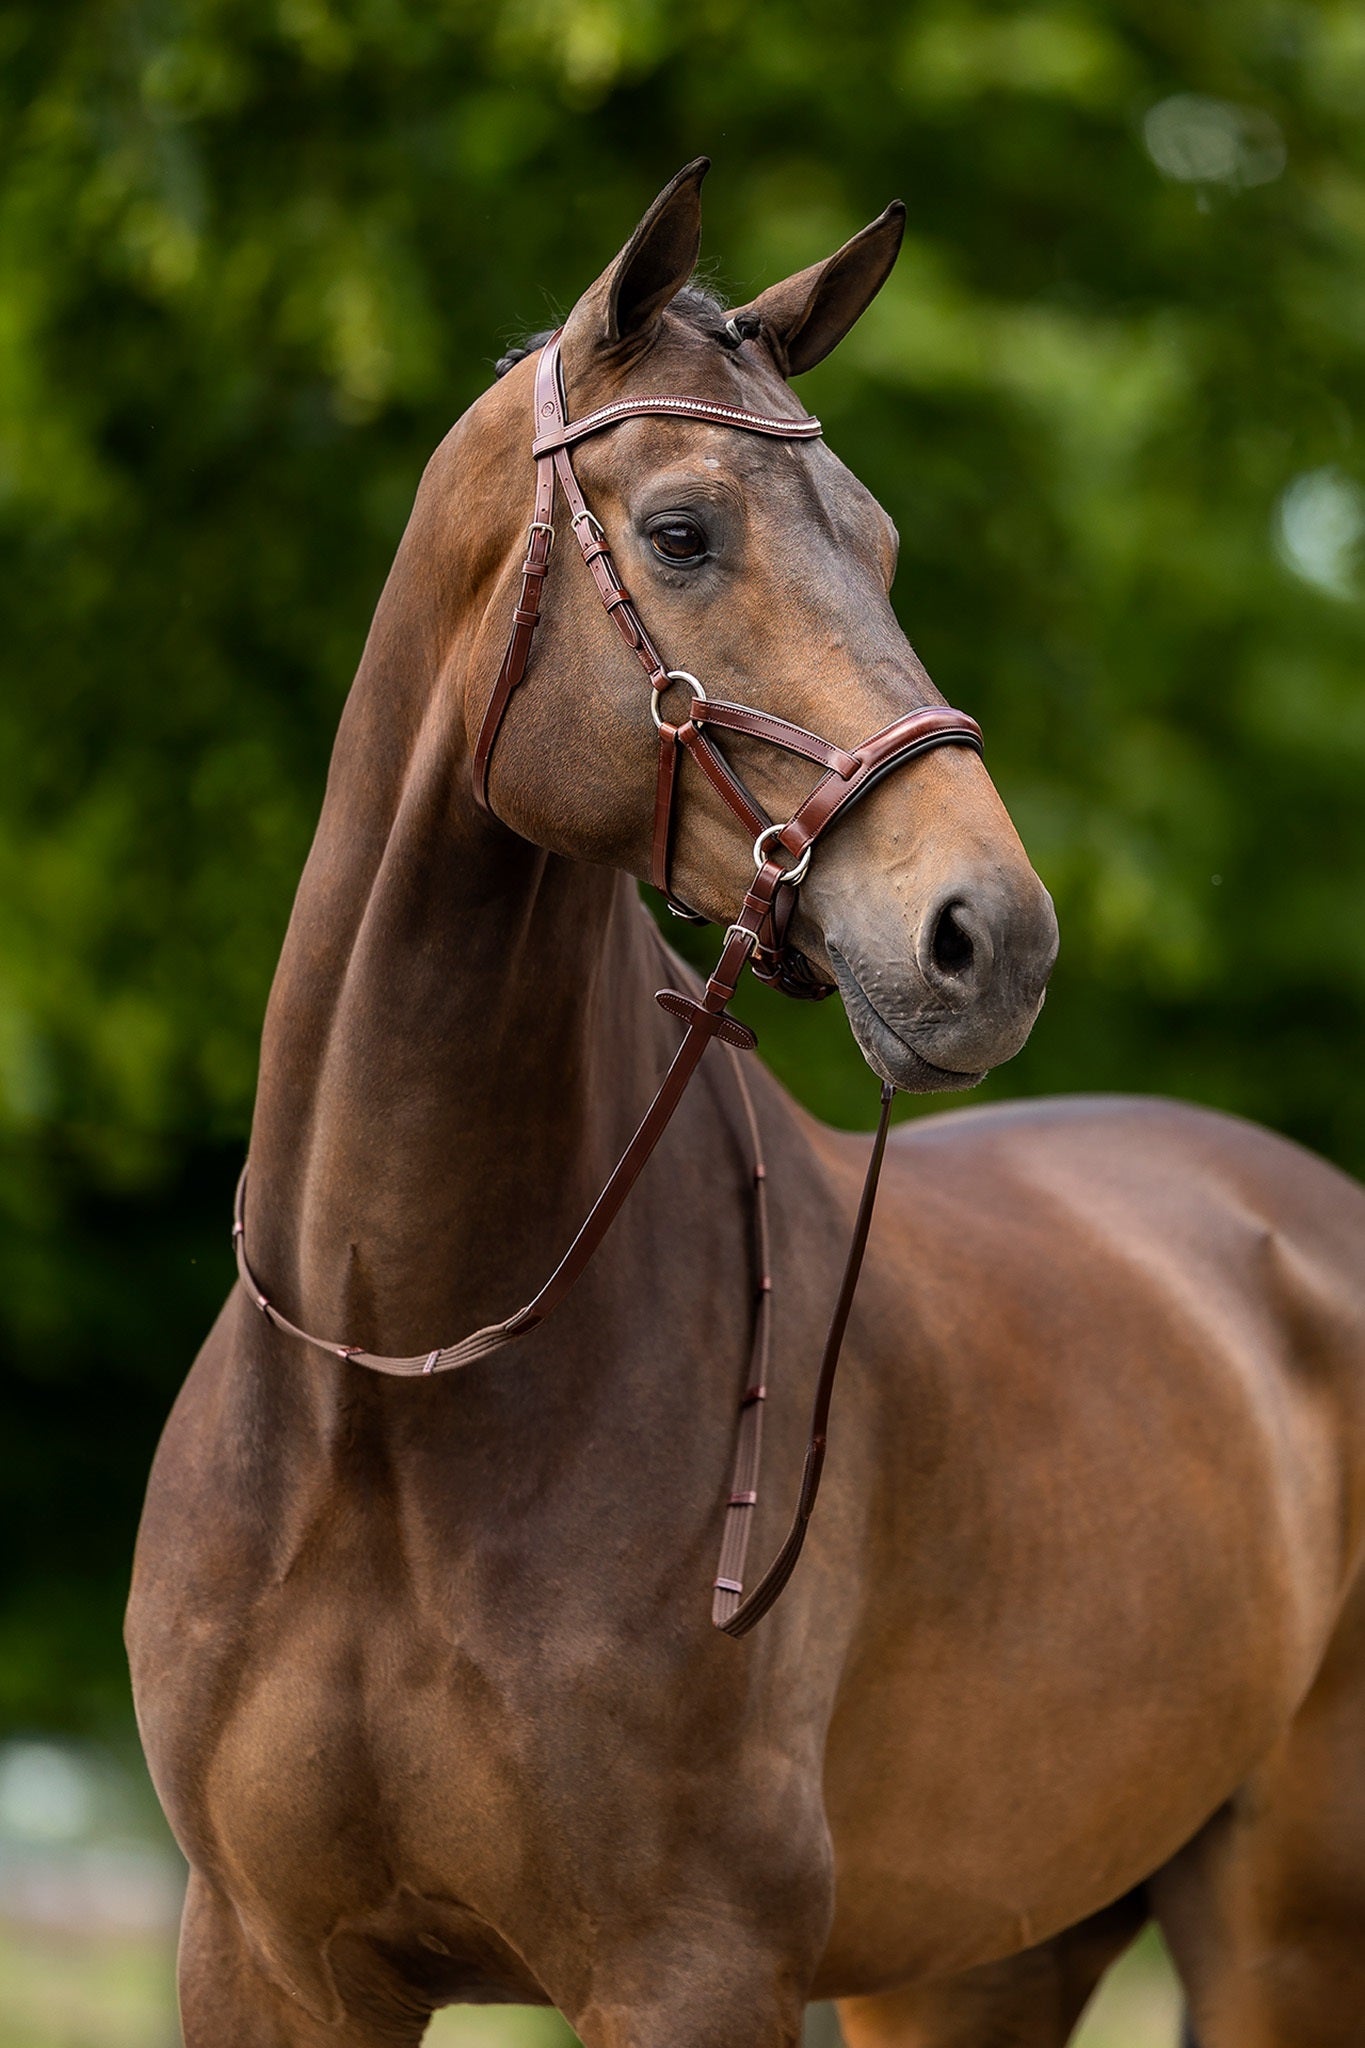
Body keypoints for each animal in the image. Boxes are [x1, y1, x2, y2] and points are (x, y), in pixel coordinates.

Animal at [127, 163, 1365, 2048]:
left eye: (884, 546)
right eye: (685, 533)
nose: (989, 938)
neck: (396, 1383)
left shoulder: (691, 1962)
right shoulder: (267, 1959)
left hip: (1286, 1929)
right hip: (978, 1962)